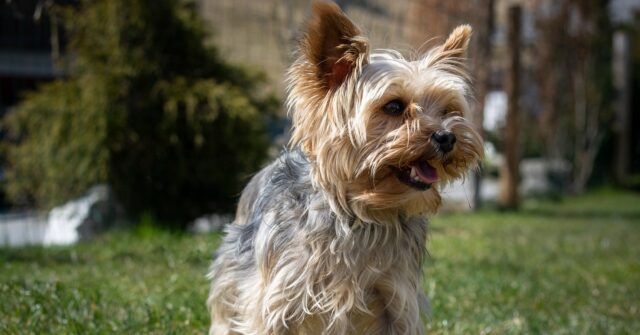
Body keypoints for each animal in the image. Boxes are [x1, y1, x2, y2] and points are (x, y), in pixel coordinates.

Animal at [208, 1, 482, 334]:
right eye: (394, 107)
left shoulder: (395, 300)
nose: (447, 137)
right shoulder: (275, 297)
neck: (360, 214)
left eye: (447, 110)